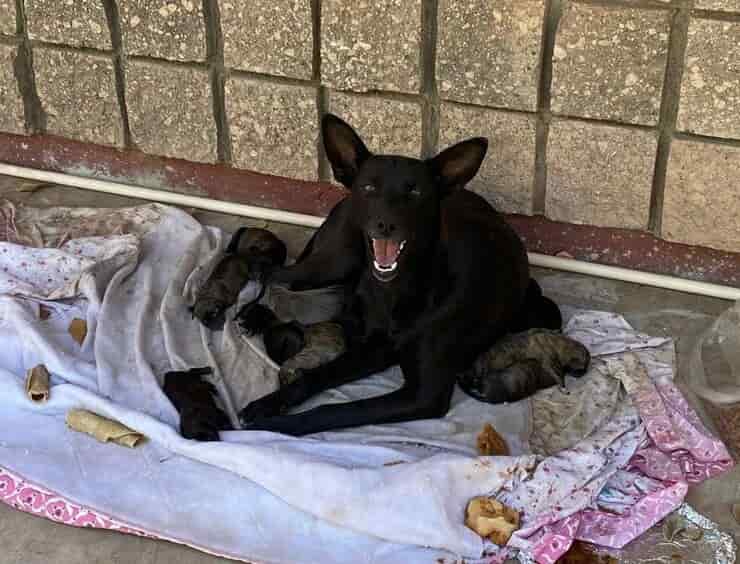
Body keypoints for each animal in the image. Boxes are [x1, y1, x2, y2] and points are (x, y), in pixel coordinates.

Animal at [237, 114, 560, 438]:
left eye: (415, 192)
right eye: (369, 187)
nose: (386, 225)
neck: (396, 290)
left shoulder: (416, 387)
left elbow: (334, 406)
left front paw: (273, 424)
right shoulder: (376, 348)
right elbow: (320, 380)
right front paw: (267, 405)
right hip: (335, 260)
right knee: (275, 274)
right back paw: (253, 311)